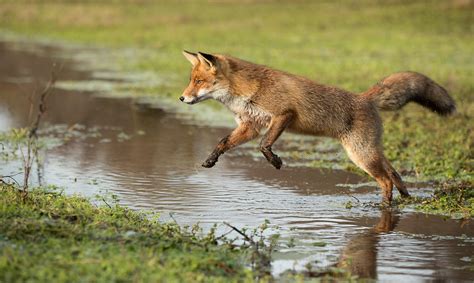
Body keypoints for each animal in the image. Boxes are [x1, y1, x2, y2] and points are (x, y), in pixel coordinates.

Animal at [181, 49, 456, 204]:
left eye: (198, 81)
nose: (182, 98)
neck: (247, 90)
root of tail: (365, 97)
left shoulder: (283, 114)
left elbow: (264, 145)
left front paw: (276, 161)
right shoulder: (251, 125)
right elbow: (223, 142)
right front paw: (211, 160)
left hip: (361, 155)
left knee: (386, 181)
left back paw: (384, 206)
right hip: (371, 152)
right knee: (396, 175)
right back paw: (407, 201)